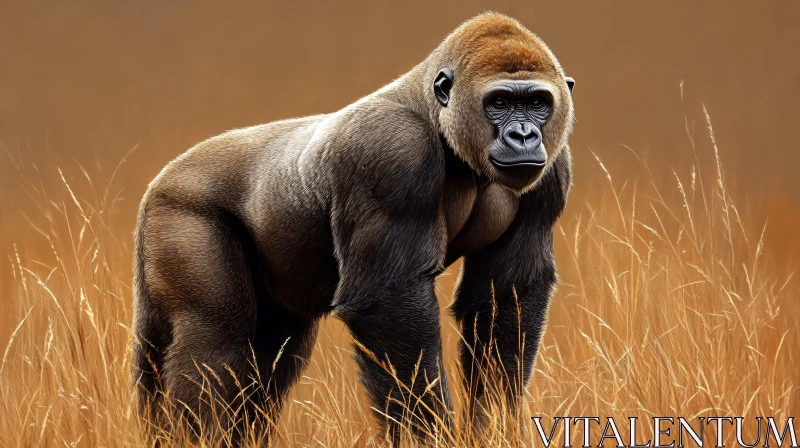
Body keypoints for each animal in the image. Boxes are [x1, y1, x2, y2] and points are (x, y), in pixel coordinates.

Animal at [131, 12, 575, 445]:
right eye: (499, 102)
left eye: (537, 103)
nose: (523, 135)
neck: (435, 115)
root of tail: (160, 180)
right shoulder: (392, 153)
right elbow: (388, 301)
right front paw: (428, 436)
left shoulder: (553, 171)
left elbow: (505, 298)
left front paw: (493, 427)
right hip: (179, 207)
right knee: (214, 340)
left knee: (271, 353)